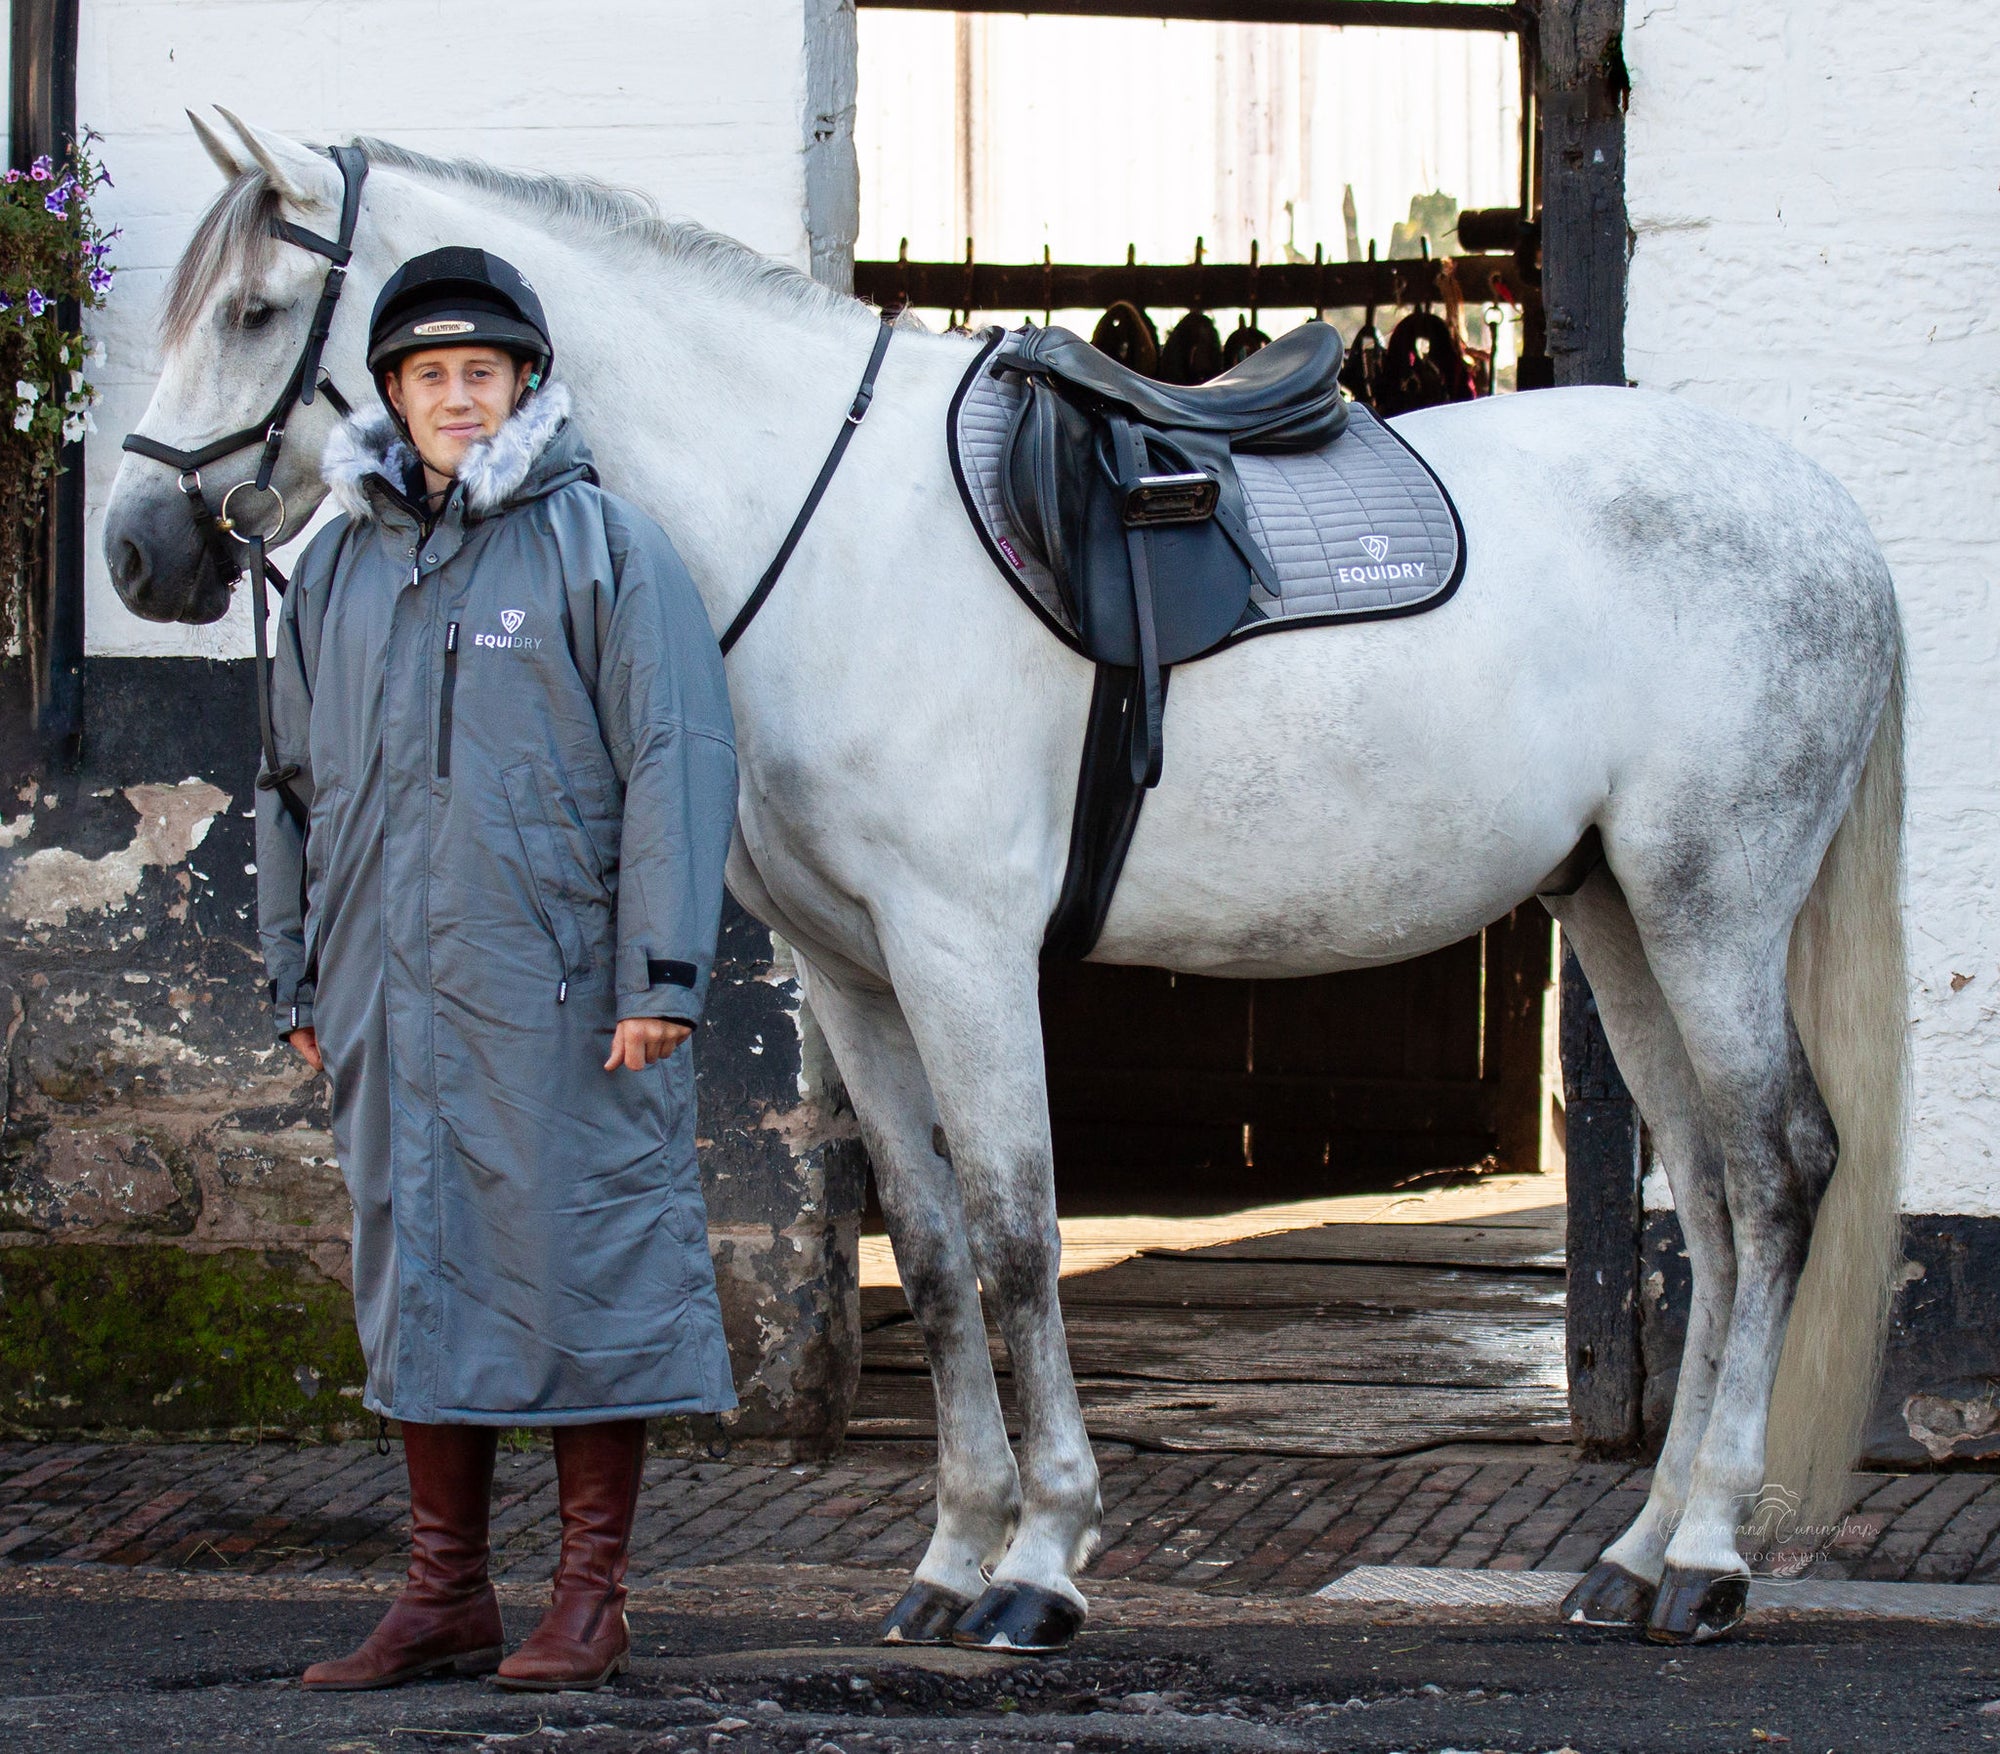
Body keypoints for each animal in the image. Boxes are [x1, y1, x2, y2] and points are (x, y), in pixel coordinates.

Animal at [105, 116, 1904, 1648]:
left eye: (257, 308)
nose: (137, 547)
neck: (825, 535)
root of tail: (1828, 518)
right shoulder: (852, 967)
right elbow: (925, 1240)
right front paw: (952, 1552)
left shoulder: (961, 946)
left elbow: (1017, 1229)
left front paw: (1042, 1561)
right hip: (1620, 911)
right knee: (1715, 1203)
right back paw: (1639, 1554)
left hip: (1712, 900)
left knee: (1776, 1172)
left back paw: (1711, 1554)